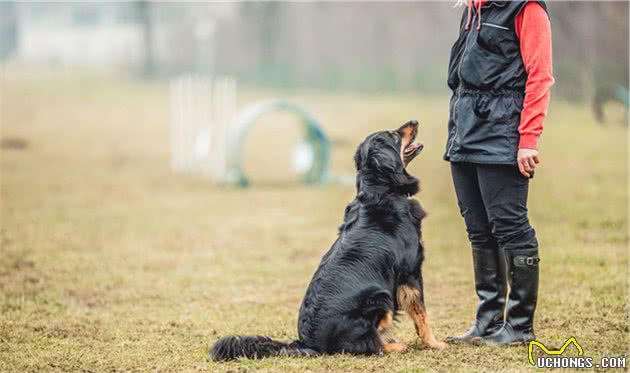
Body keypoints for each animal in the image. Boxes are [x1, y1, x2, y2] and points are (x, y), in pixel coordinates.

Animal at [214, 120, 450, 358]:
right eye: (394, 134)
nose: (414, 121)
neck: (381, 191)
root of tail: (307, 342)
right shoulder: (410, 272)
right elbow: (421, 314)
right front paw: (434, 343)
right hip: (380, 297)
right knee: (367, 344)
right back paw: (393, 345)